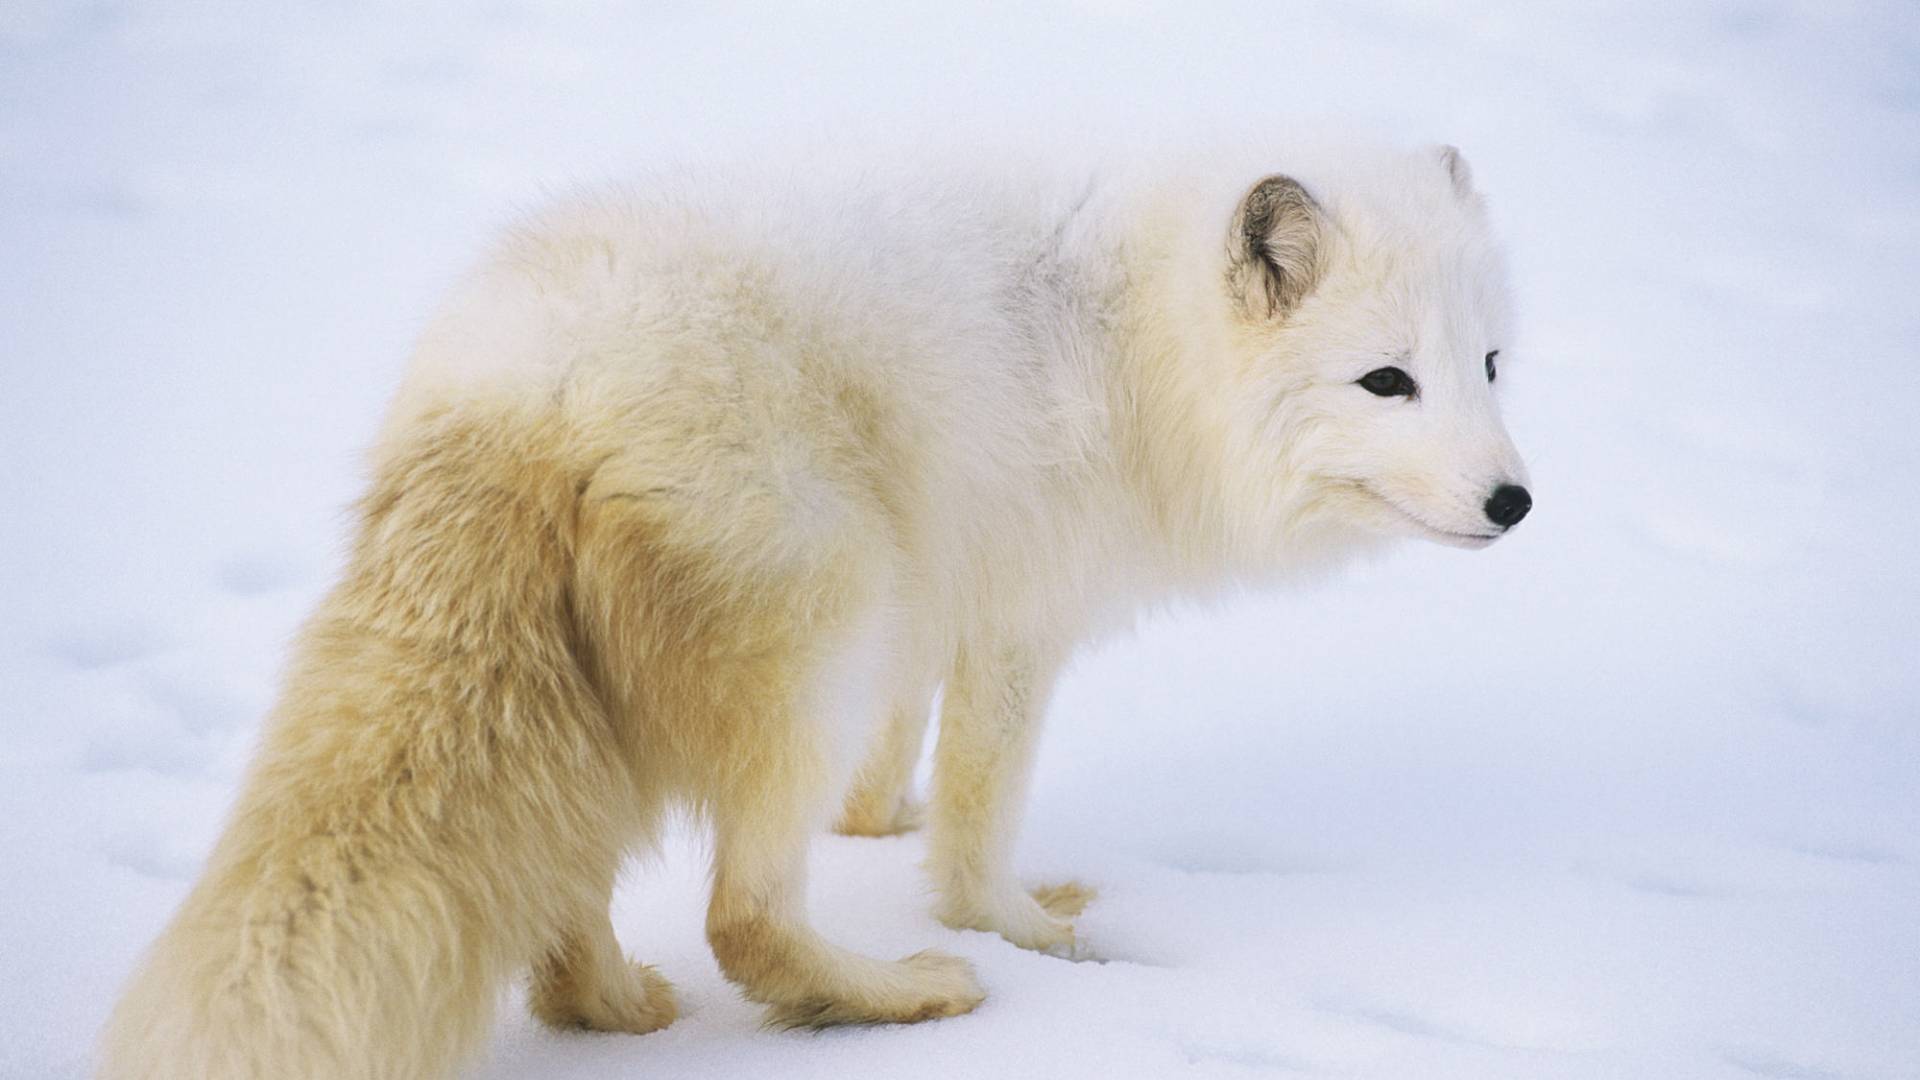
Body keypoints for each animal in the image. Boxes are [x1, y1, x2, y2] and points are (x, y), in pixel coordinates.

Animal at [97, 145, 1528, 1076]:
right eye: (1386, 382)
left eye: (1493, 365)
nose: (1515, 501)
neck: (1132, 344)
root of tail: (523, 384)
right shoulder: (1015, 618)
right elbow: (977, 828)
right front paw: (1021, 933)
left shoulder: (931, 587)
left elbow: (900, 752)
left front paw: (875, 822)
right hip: (814, 635)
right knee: (744, 918)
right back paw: (903, 996)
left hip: (632, 691)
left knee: (567, 919)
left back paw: (622, 1012)